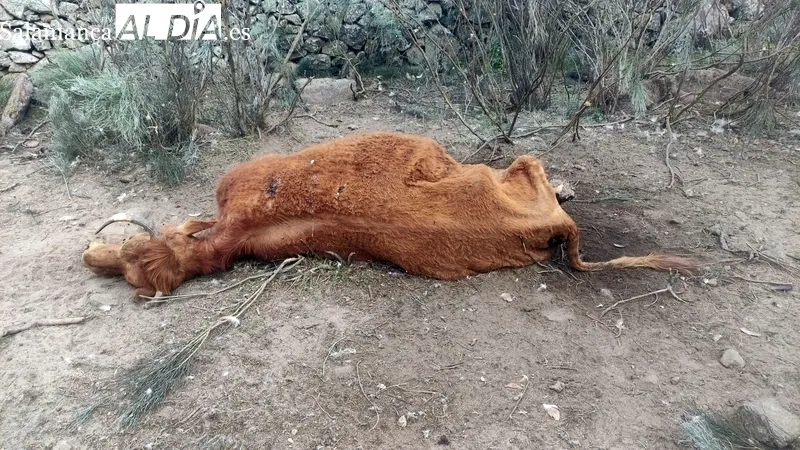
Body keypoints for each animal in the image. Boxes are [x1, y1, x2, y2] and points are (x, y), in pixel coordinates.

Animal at [82, 131, 695, 298]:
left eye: (127, 256)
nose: (90, 255)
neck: (233, 235)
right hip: (510, 173)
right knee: (535, 165)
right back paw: (560, 183)